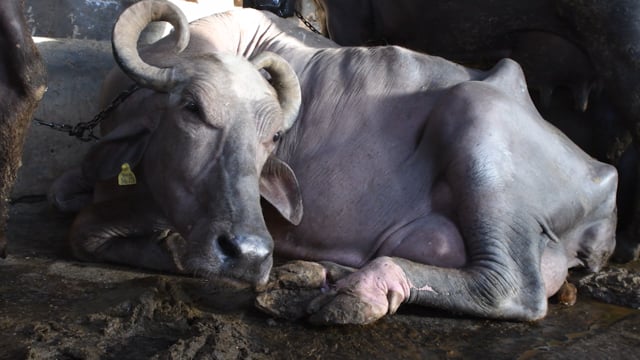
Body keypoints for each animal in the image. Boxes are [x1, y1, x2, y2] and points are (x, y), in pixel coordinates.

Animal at [52, 0, 616, 324]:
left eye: (275, 136)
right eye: (191, 108)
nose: (250, 253)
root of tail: (601, 178)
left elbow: (86, 231)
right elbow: (72, 211)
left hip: (478, 120)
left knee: (510, 288)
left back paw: (353, 292)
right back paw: (312, 277)